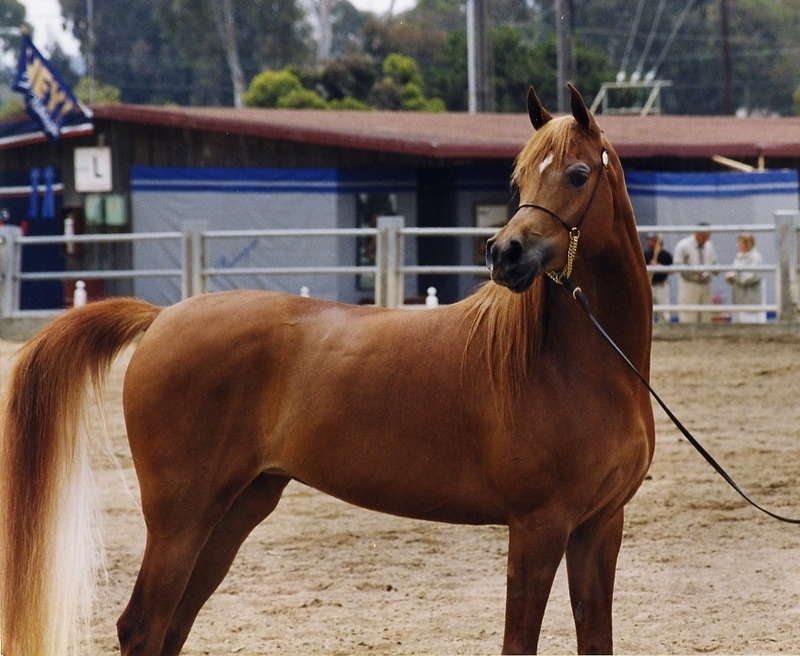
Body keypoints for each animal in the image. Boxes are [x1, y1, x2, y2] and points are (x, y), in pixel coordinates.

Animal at [0, 87, 648, 656]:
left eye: (578, 174)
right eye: (519, 179)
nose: (504, 254)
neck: (575, 366)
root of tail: (162, 317)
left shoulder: (599, 529)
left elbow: (597, 639)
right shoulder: (538, 527)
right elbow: (520, 642)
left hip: (234, 512)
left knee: (171, 627)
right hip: (180, 517)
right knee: (141, 627)